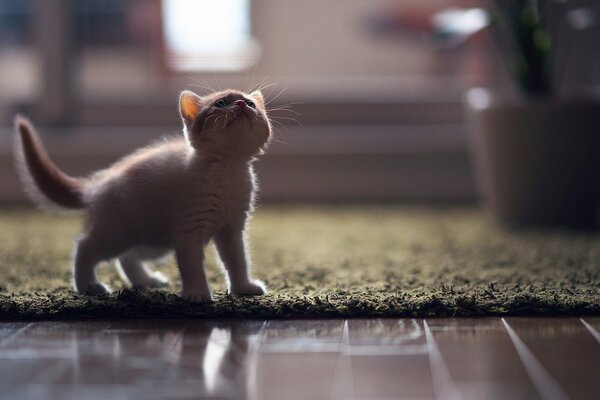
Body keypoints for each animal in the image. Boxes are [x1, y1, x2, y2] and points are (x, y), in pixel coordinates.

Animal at [14, 88, 272, 300]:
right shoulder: (188, 230)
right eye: (221, 103)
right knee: (84, 247)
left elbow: (237, 261)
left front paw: (243, 288)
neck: (228, 169)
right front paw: (197, 294)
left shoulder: (232, 228)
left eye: (251, 103)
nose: (241, 104)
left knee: (127, 257)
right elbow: (192, 266)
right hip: (117, 232)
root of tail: (99, 182)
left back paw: (145, 281)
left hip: (153, 238)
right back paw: (88, 286)